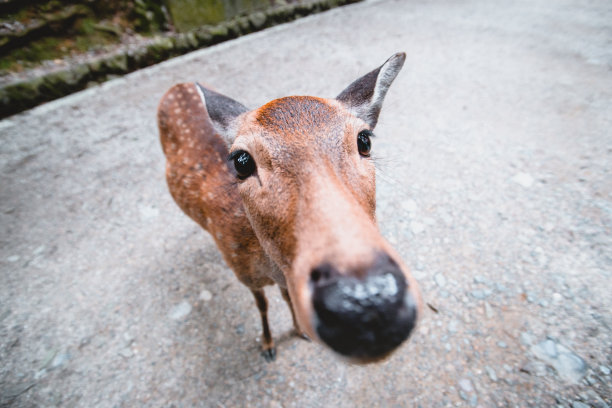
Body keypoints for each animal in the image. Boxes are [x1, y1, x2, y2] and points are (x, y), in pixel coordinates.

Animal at [158, 51, 420, 364]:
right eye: (241, 161)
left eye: (364, 140)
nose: (367, 300)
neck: (270, 265)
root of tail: (177, 85)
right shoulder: (245, 276)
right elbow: (263, 306)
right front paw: (268, 345)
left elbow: (285, 297)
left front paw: (298, 330)